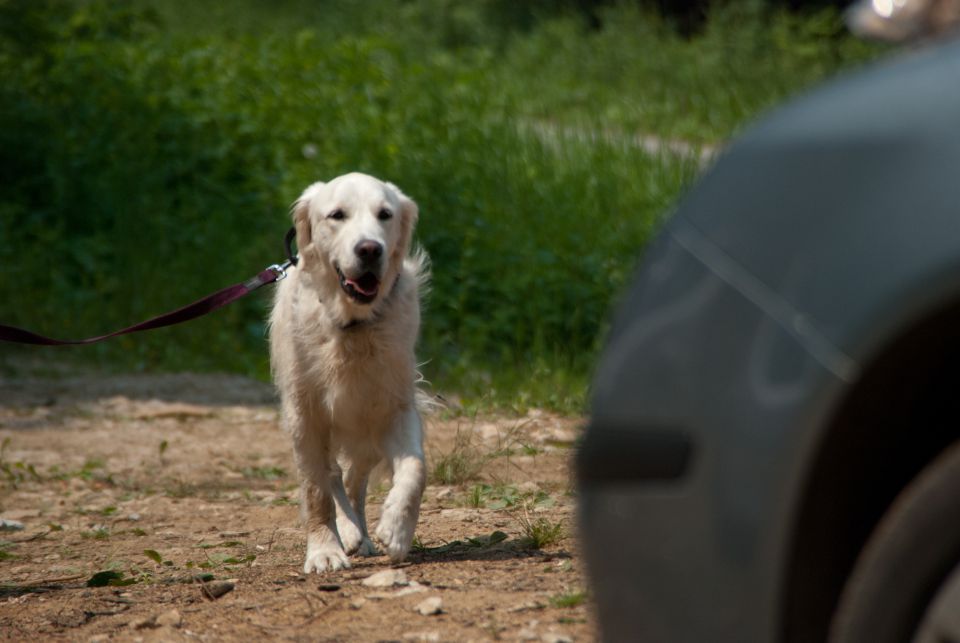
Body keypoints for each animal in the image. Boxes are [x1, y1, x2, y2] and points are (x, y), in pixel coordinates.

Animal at [268, 172, 430, 572]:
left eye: (385, 214)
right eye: (337, 215)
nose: (370, 249)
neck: (352, 327)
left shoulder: (395, 407)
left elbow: (416, 468)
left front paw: (397, 529)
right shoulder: (305, 415)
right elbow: (317, 491)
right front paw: (324, 551)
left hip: (365, 433)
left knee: (355, 480)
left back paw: (361, 533)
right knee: (333, 476)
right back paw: (348, 532)